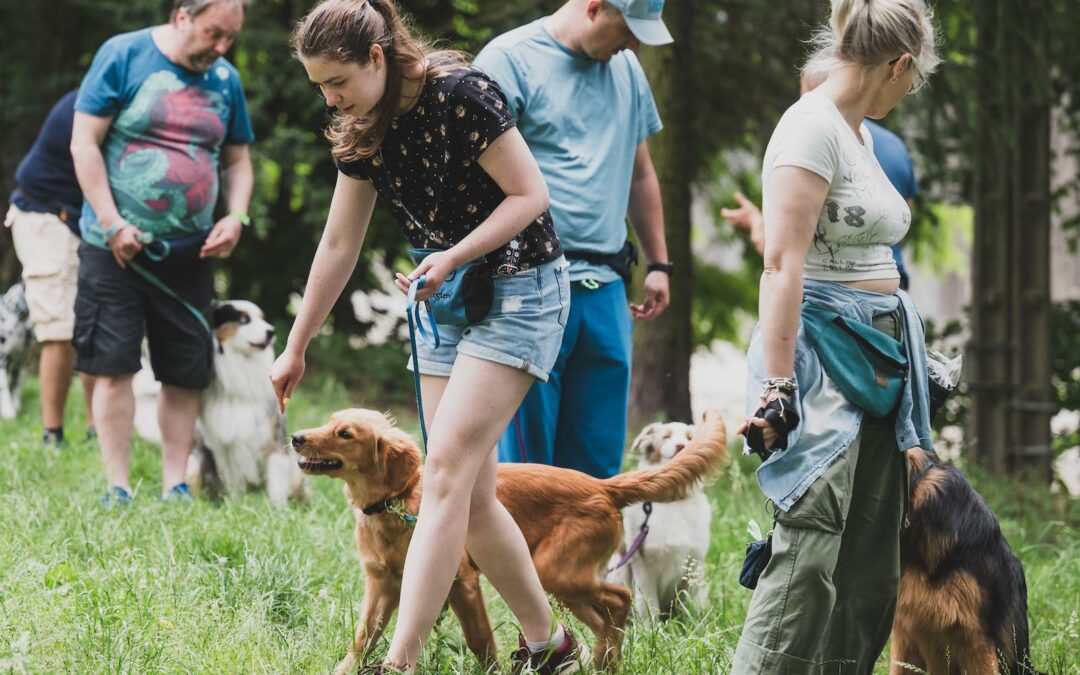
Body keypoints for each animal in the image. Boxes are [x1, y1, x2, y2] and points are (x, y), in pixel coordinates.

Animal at [289, 406, 725, 669]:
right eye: (328, 422)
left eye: (345, 434)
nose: (295, 436)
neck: (395, 502)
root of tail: (604, 486)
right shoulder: (382, 586)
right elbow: (362, 637)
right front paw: (344, 670)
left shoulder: (460, 580)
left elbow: (479, 638)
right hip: (562, 583)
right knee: (605, 617)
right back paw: (600, 662)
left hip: (555, 572)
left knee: (621, 599)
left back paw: (605, 660)